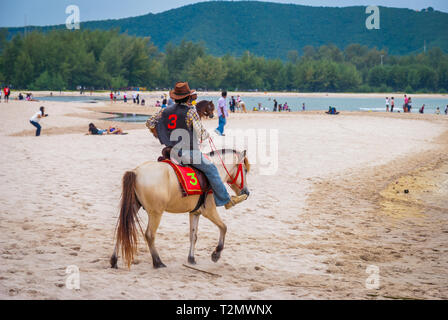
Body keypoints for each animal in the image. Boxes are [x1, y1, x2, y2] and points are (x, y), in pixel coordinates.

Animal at [111, 149, 252, 268]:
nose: (246, 192)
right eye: (245, 170)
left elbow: (193, 236)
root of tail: (136, 172)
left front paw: (191, 258)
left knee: (122, 228)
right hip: (156, 213)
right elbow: (223, 227)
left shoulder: (195, 212)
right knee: (150, 235)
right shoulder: (209, 211)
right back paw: (157, 262)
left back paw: (114, 260)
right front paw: (216, 254)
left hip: (134, 206)